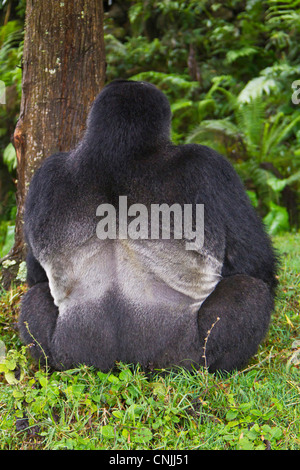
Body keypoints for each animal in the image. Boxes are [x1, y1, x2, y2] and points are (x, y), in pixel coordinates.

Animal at [18, 79, 278, 372]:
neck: (119, 148)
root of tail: (125, 364)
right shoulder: (209, 166)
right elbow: (255, 264)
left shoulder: (45, 173)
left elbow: (36, 273)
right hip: (182, 358)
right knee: (250, 290)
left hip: (73, 355)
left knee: (34, 296)